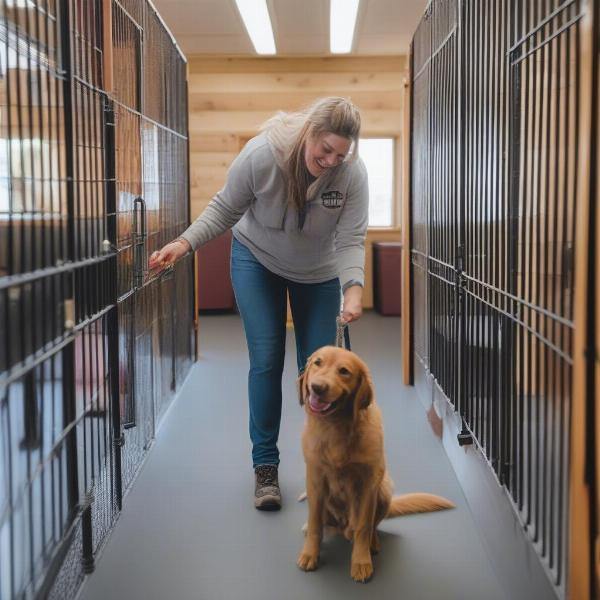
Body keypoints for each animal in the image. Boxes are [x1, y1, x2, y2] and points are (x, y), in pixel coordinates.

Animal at [296, 344, 454, 584]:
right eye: (317, 363)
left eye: (344, 371)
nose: (317, 388)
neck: (335, 428)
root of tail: (342, 526)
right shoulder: (315, 479)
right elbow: (315, 524)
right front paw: (310, 553)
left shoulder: (368, 484)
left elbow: (363, 526)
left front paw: (361, 562)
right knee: (322, 523)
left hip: (385, 489)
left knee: (370, 527)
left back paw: (372, 543)